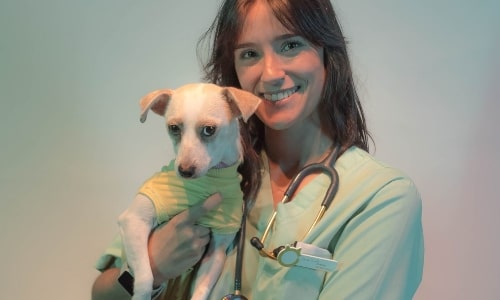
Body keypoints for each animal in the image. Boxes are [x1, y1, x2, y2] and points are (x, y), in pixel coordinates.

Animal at [117, 82, 262, 300]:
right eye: (174, 128)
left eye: (209, 130)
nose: (184, 171)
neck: (209, 179)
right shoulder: (134, 219)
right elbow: (145, 277)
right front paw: (142, 294)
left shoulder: (217, 250)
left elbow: (201, 290)